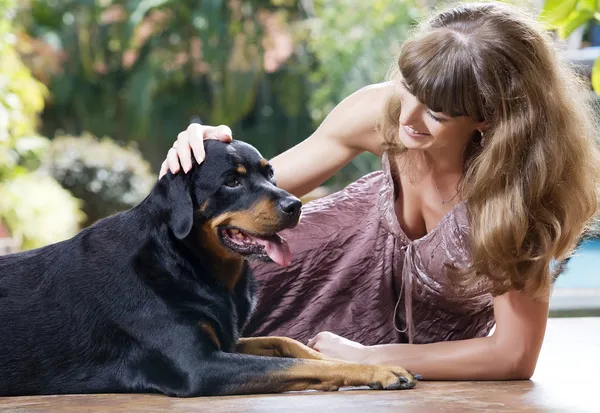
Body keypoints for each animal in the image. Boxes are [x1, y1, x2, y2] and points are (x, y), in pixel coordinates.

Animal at [0, 140, 420, 394]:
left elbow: (287, 344)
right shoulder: (197, 365)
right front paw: (377, 371)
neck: (188, 263)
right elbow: (286, 365)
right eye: (232, 181)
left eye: (269, 172)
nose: (295, 205)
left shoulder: (226, 340)